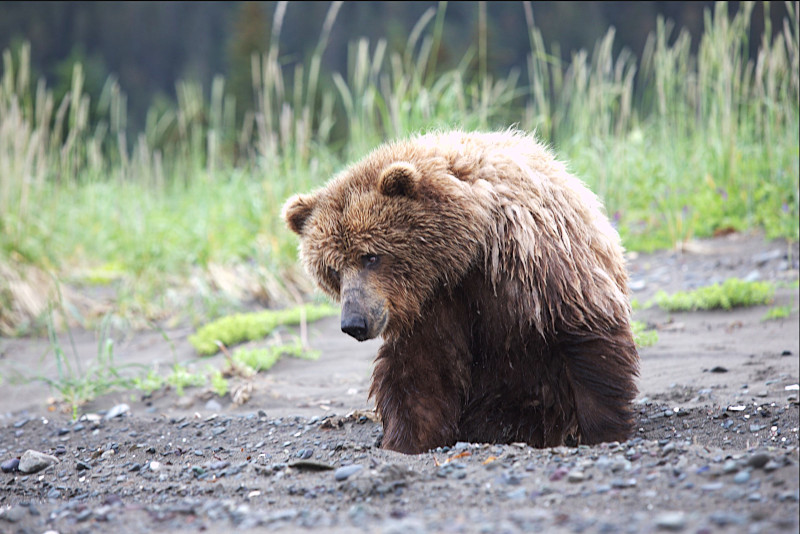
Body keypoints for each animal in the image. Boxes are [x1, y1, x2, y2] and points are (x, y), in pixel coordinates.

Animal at [282, 129, 636, 452]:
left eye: (371, 256)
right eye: (332, 269)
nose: (354, 322)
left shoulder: (530, 261)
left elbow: (584, 333)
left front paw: (603, 430)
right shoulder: (433, 304)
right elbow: (419, 374)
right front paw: (405, 441)